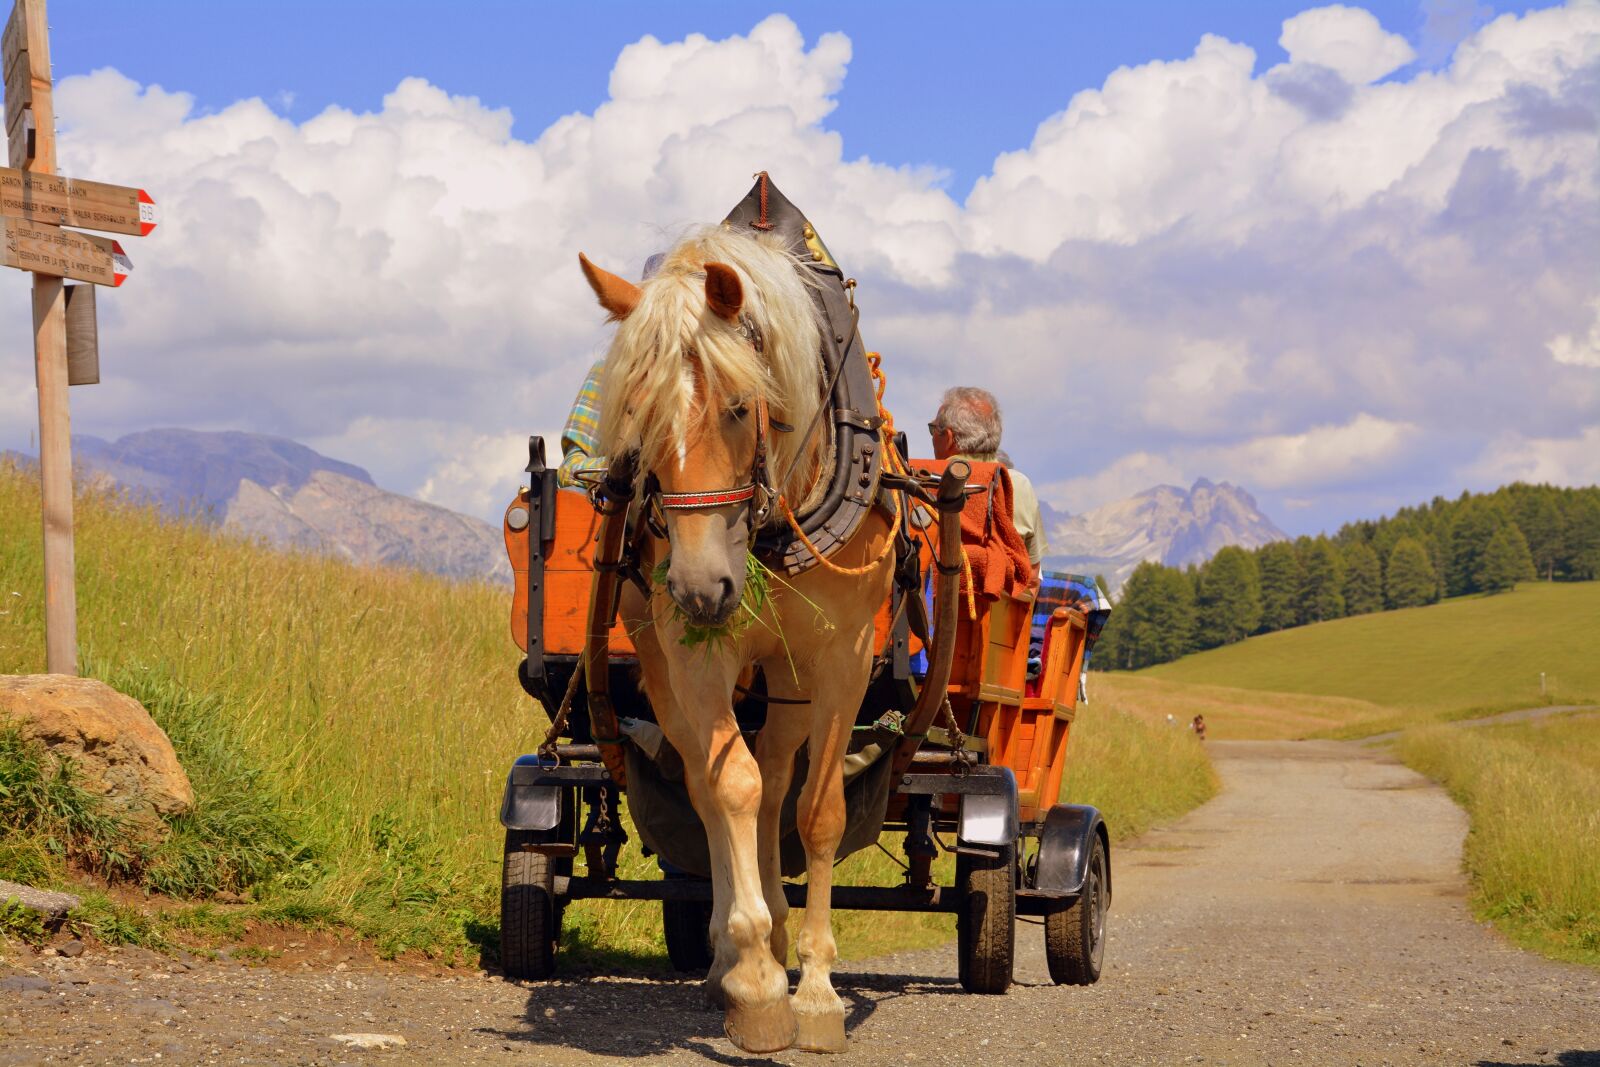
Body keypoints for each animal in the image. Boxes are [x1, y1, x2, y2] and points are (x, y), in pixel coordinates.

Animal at [579, 226, 895, 1054]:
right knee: (711, 780)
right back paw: (733, 952)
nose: (699, 586)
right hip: (663, 661)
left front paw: (815, 989)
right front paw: (753, 976)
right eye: (637, 414)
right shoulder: (697, 654)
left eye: (740, 406)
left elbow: (817, 811)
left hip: (790, 679)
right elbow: (731, 788)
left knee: (782, 773)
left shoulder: (843, 657)